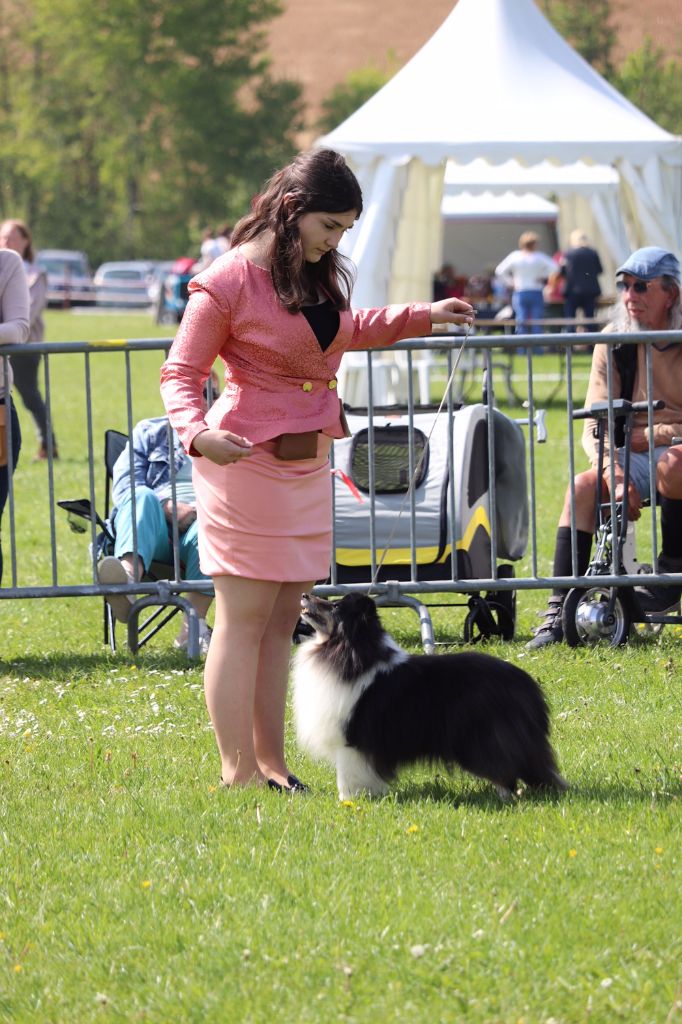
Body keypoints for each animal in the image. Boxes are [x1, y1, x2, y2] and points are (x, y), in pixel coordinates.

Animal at [288, 593, 565, 798]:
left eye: (335, 606)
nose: (303, 594)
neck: (347, 649)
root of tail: (527, 685)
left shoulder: (351, 741)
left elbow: (347, 776)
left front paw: (349, 802)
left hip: (482, 737)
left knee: (504, 769)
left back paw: (504, 797)